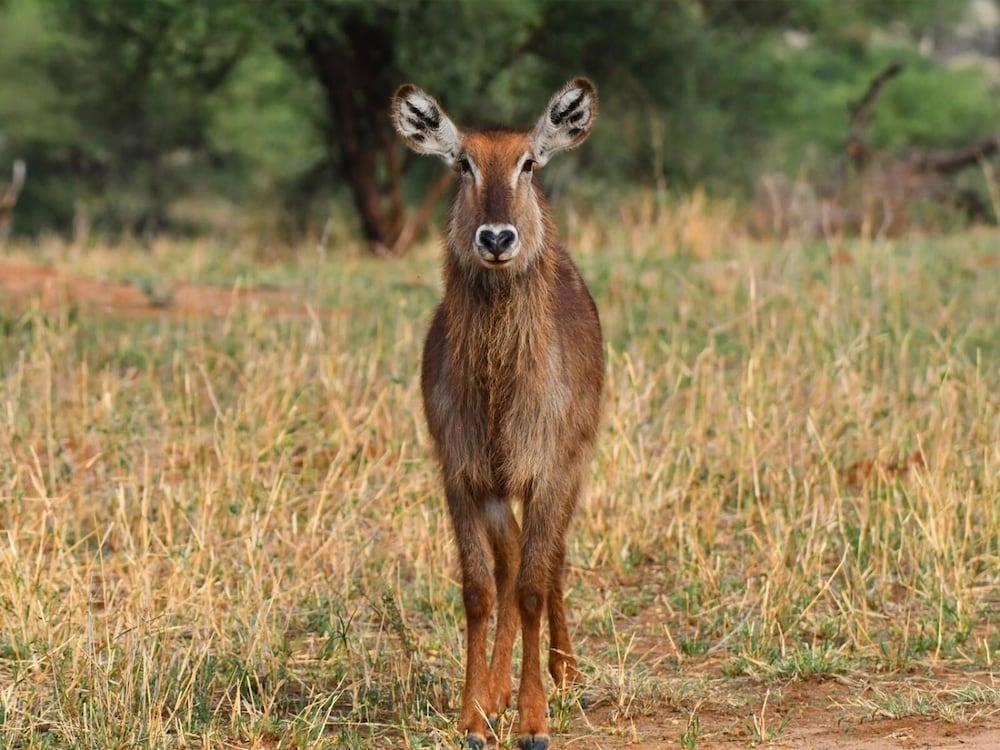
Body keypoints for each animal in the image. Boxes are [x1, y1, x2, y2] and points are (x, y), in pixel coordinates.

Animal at [392, 79, 604, 748]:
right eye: (463, 163)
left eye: (528, 163)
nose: (496, 239)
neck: (497, 392)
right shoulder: (463, 477)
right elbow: (481, 592)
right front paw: (474, 714)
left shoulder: (549, 473)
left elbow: (533, 588)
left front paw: (534, 719)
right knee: (509, 563)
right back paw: (496, 688)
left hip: (576, 464)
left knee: (550, 559)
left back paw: (565, 673)